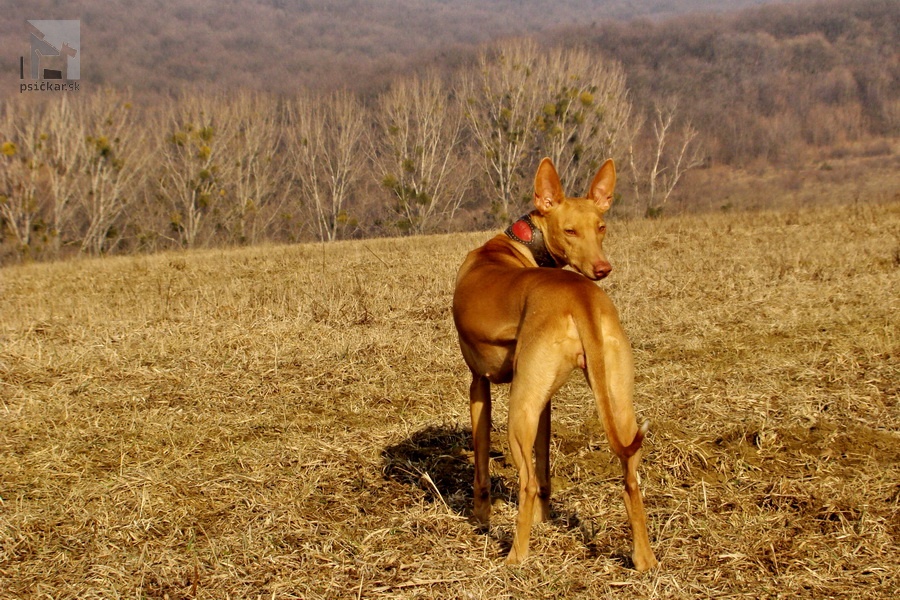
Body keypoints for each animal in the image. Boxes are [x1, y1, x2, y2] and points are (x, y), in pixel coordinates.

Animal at [454, 157, 656, 568]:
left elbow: (483, 466)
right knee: (630, 479)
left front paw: (480, 518)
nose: (603, 268)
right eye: (571, 230)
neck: (516, 244)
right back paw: (645, 561)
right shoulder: (544, 401)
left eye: (600, 227)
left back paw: (515, 559)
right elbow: (546, 461)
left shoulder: (479, 383)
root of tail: (580, 296)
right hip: (615, 401)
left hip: (518, 410)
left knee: (527, 482)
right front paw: (545, 519)